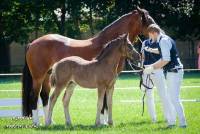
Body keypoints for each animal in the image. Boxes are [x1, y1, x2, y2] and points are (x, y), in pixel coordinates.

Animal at [22, 6, 156, 125]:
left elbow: (108, 102)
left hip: (48, 77)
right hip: (39, 77)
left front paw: (106, 121)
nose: (139, 56)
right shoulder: (103, 85)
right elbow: (102, 102)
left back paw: (51, 121)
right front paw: (102, 122)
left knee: (45, 96)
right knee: (35, 96)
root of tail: (32, 43)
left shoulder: (110, 84)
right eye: (148, 20)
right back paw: (37, 122)